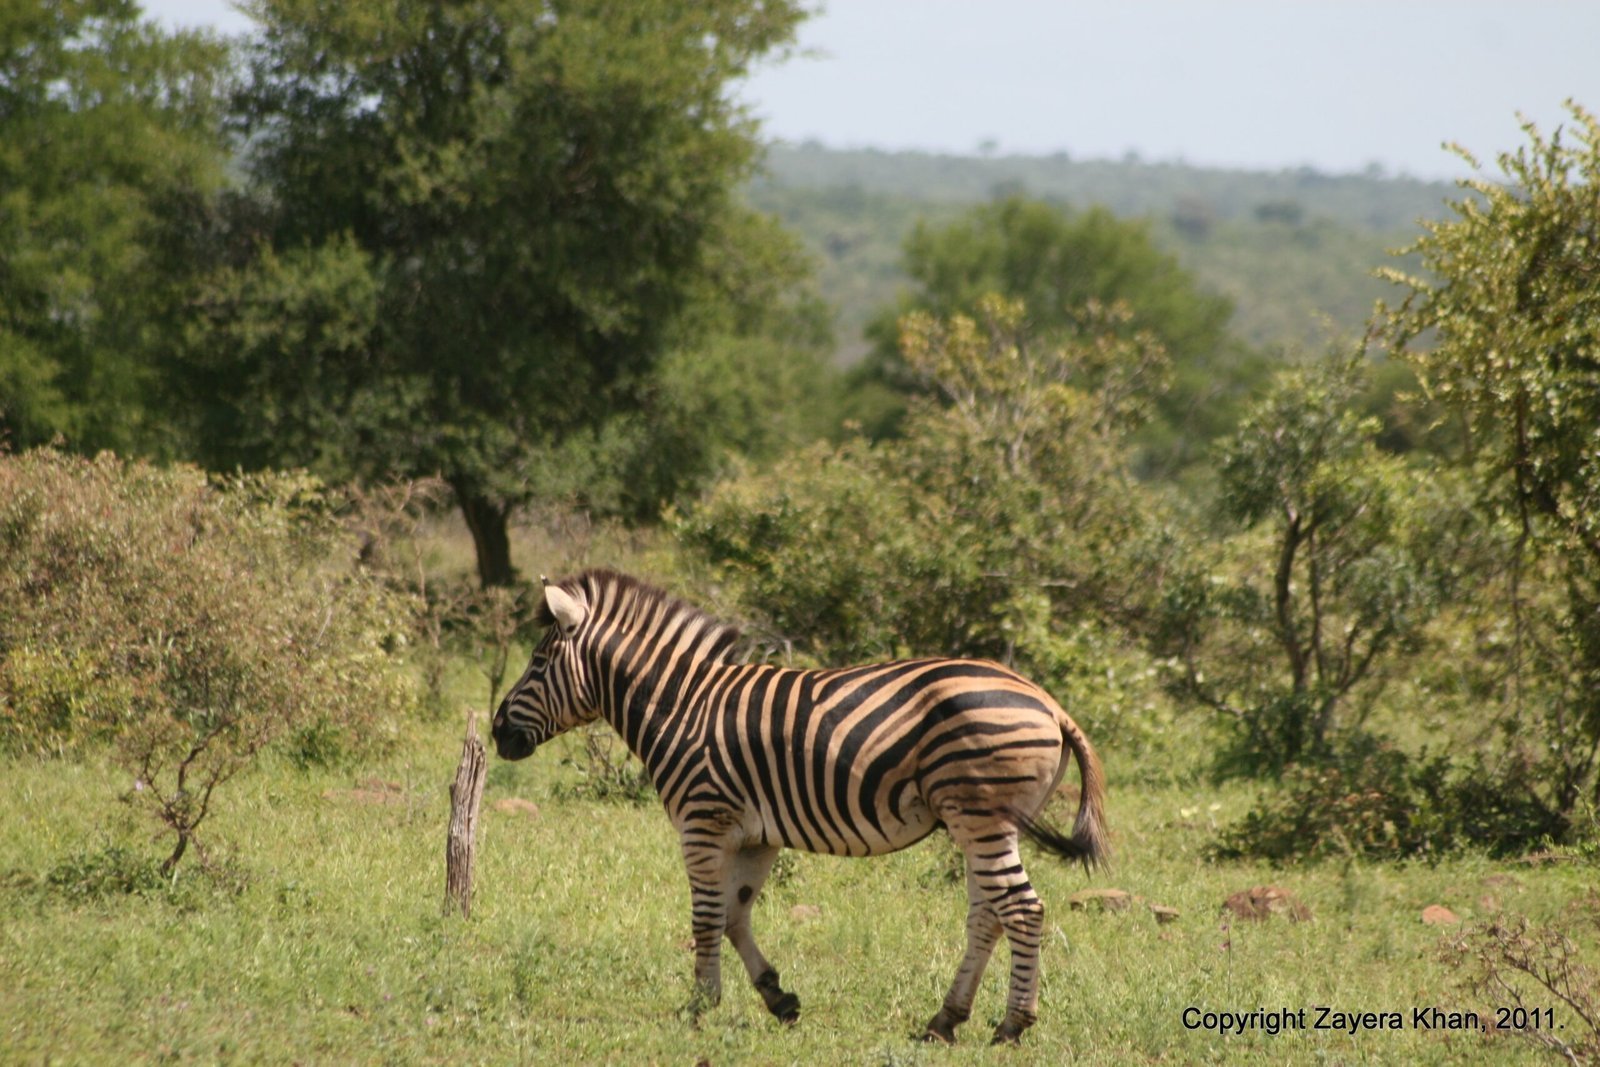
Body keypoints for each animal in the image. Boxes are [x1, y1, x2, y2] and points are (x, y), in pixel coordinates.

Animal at [492, 569, 1108, 1046]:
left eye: (539, 661)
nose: (498, 732)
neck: (682, 705)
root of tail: (1048, 702)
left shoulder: (702, 819)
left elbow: (706, 917)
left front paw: (700, 1007)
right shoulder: (755, 836)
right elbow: (735, 915)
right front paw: (778, 998)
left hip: (980, 816)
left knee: (1022, 910)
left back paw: (1012, 1025)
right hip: (984, 822)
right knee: (988, 915)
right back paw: (945, 1020)